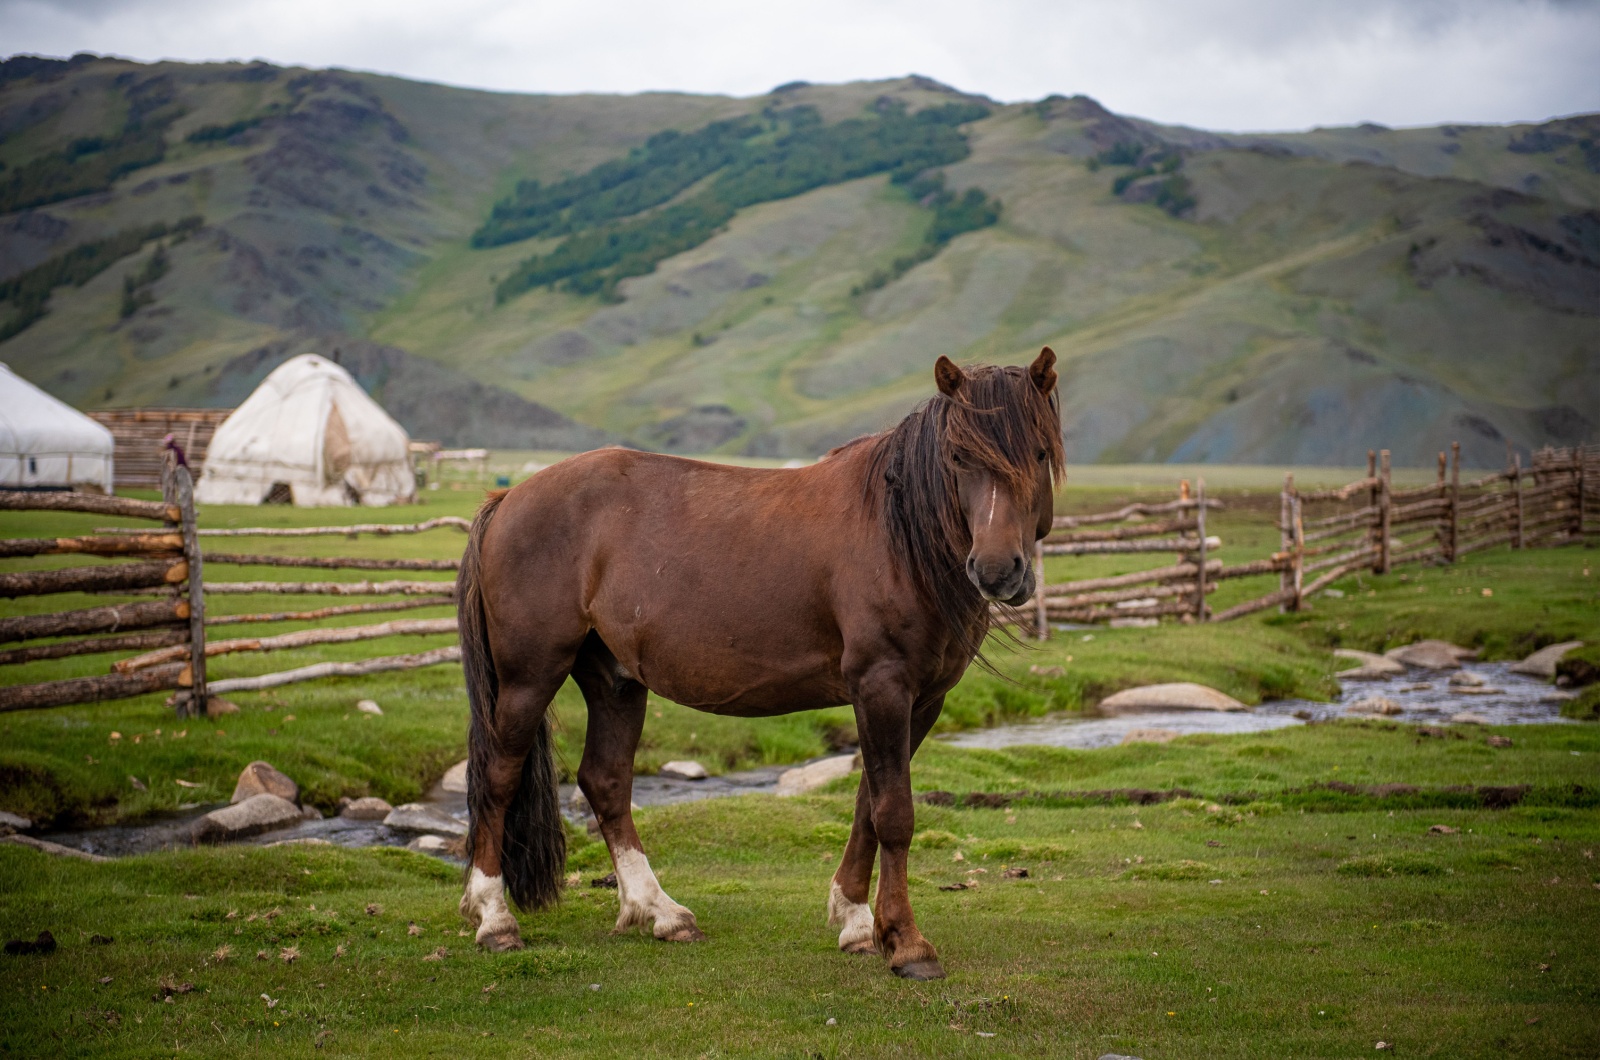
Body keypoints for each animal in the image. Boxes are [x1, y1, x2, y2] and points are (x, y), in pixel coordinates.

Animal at [460, 349, 1062, 979]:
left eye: (1040, 452)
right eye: (959, 456)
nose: (996, 571)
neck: (897, 534)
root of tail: (508, 499)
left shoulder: (922, 699)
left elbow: (866, 805)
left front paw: (855, 920)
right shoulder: (882, 686)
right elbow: (895, 813)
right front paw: (906, 942)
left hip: (614, 679)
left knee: (606, 782)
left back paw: (660, 913)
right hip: (530, 677)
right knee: (499, 776)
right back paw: (495, 921)